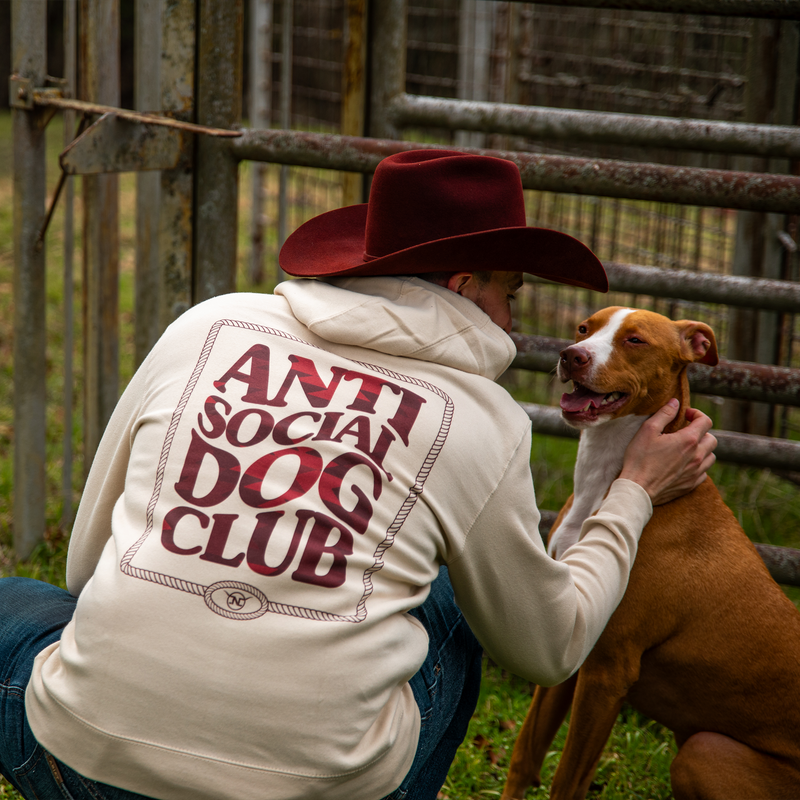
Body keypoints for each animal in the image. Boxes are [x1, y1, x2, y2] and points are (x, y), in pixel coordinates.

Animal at [504, 306, 800, 800]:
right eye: (584, 328)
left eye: (635, 340)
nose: (571, 355)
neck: (604, 477)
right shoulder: (572, 637)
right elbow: (525, 756)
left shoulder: (608, 670)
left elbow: (567, 783)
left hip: (701, 752)